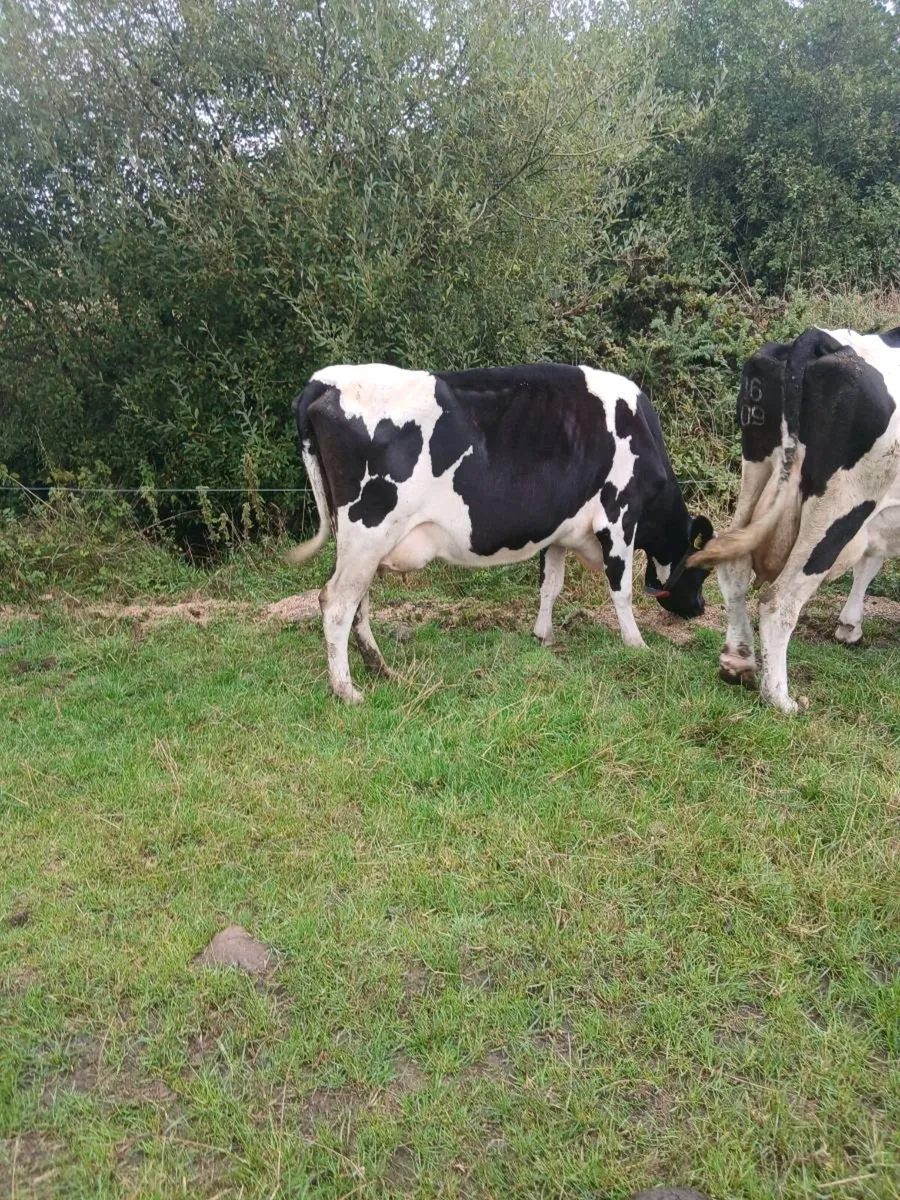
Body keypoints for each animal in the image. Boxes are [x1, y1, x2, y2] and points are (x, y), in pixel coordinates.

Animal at [286, 363, 714, 702]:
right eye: (704, 570)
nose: (700, 608)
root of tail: (325, 381)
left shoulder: (558, 530)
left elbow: (550, 585)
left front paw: (543, 636)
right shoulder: (619, 516)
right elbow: (621, 589)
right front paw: (636, 643)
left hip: (359, 541)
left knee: (358, 601)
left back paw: (380, 668)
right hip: (368, 531)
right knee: (337, 602)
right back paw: (347, 690)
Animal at [688, 326, 900, 713]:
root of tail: (819, 338)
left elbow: (869, 562)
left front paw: (850, 626)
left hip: (757, 469)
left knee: (733, 566)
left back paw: (738, 662)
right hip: (841, 507)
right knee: (780, 601)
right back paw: (780, 698)